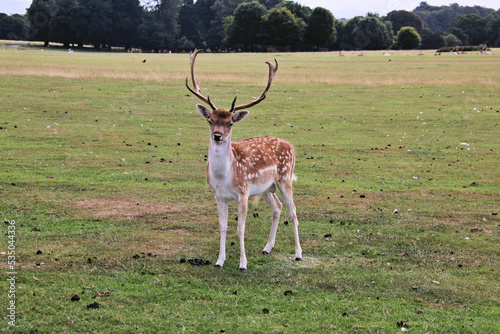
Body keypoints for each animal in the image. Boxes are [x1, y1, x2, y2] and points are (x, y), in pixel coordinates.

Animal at [184, 49, 300, 268]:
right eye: (210, 120)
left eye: (230, 123)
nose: (217, 135)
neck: (225, 176)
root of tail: (291, 145)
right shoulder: (218, 196)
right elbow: (222, 226)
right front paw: (219, 260)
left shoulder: (244, 193)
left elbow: (240, 228)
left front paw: (243, 264)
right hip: (266, 188)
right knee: (277, 208)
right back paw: (267, 247)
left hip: (285, 178)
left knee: (293, 211)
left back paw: (298, 253)